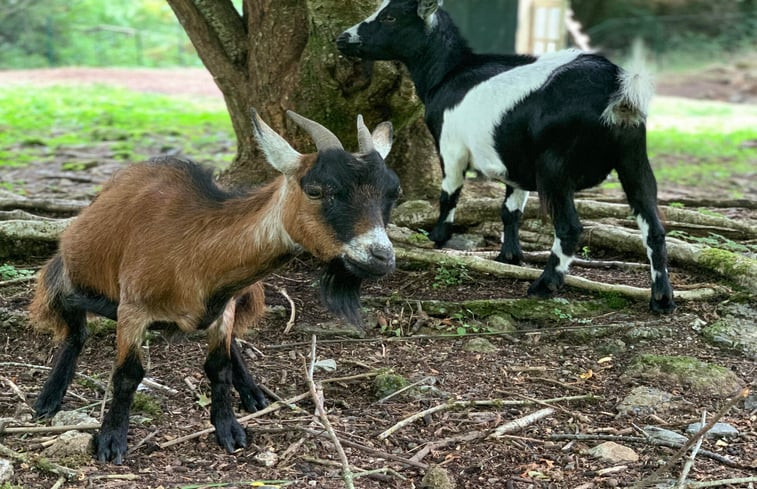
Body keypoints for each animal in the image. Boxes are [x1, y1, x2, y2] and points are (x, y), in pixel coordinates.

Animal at [28, 109, 402, 462]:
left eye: (393, 194)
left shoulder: (225, 306)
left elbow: (218, 367)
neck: (192, 248)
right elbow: (127, 374)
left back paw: (252, 393)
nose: (381, 257)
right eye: (316, 190)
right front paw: (111, 440)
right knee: (75, 329)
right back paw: (49, 397)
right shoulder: (132, 308)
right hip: (68, 277)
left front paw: (228, 428)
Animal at [336, 0, 672, 312]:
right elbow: (510, 210)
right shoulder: (515, 163)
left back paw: (545, 284)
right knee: (653, 227)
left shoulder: (452, 147)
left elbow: (449, 196)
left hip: (555, 166)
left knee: (570, 227)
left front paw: (437, 237)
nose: (342, 38)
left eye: (390, 17)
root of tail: (617, 89)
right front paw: (509, 256)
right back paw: (662, 299)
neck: (451, 73)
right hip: (633, 157)